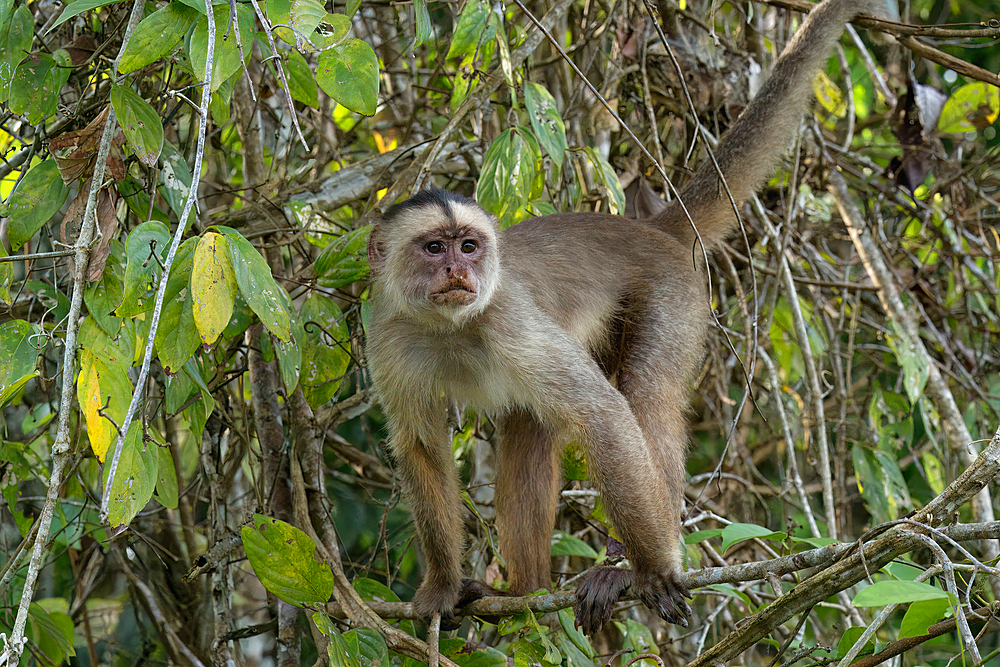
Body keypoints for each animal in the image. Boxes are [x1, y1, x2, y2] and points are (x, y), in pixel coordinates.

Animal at [366, 0, 892, 636]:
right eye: (434, 248)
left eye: (468, 246)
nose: (458, 272)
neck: (452, 329)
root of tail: (646, 228)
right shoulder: (388, 337)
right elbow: (422, 447)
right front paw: (443, 586)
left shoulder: (506, 317)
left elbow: (606, 414)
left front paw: (653, 568)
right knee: (528, 427)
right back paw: (526, 589)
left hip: (673, 290)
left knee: (645, 391)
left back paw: (624, 567)